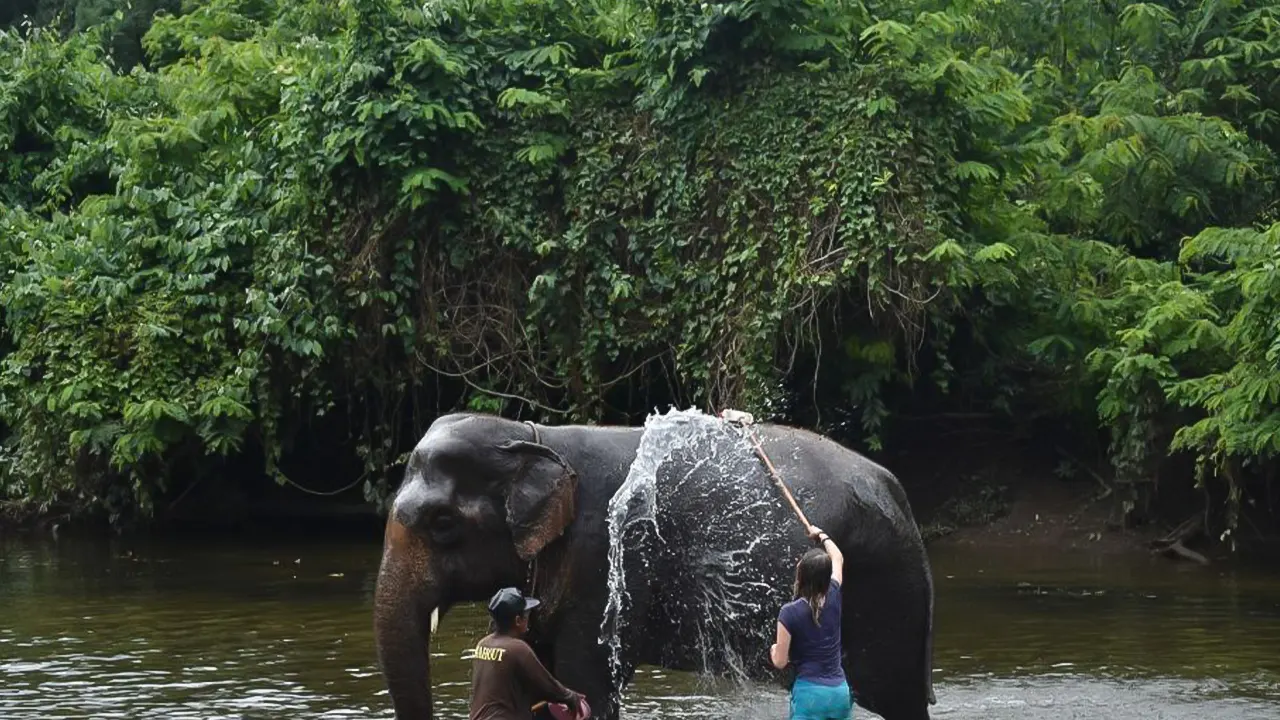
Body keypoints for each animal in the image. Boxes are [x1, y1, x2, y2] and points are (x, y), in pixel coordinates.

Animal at [373, 409, 936, 717]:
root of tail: (899, 492)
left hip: (890, 591)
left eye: (442, 523)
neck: (534, 436)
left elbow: (588, 682)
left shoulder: (602, 557)